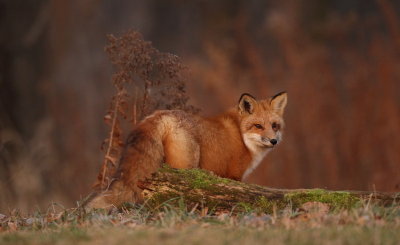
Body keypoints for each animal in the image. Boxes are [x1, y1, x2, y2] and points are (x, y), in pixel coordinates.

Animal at [86, 92, 288, 209]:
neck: (242, 137)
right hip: (185, 168)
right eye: (258, 126)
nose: (274, 141)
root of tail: (161, 115)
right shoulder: (234, 176)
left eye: (274, 126)